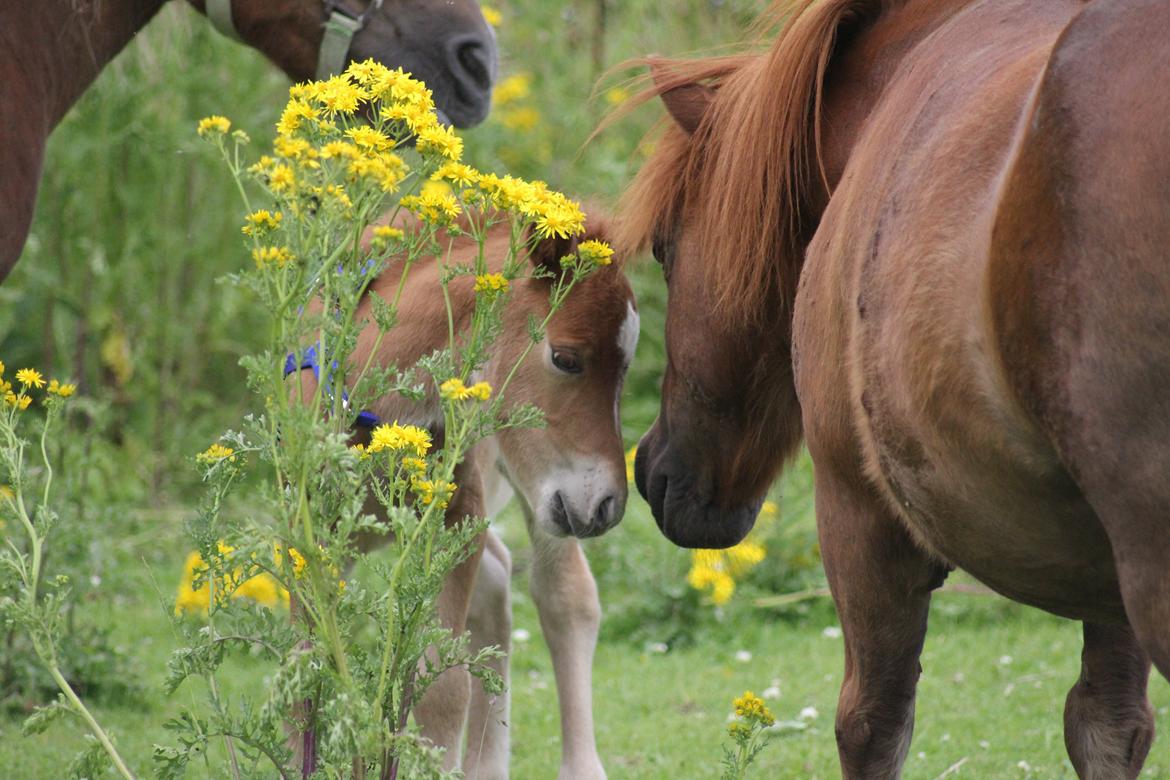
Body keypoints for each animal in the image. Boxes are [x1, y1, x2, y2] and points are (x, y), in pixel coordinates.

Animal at [622, 0, 1170, 776]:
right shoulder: (1107, 576)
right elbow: (1107, 723)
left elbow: (872, 723)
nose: (650, 469)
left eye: (666, 249)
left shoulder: (859, 513)